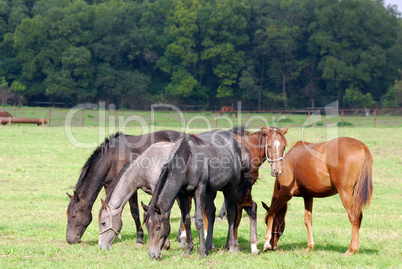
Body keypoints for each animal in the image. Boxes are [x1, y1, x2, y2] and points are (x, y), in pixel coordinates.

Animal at [142, 129, 242, 258]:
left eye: (158, 227)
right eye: (147, 227)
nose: (152, 254)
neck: (188, 162)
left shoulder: (200, 190)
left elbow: (199, 221)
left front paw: (201, 252)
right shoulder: (183, 195)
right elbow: (187, 220)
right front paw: (189, 249)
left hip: (231, 187)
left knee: (231, 213)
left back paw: (231, 246)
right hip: (210, 192)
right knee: (211, 213)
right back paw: (208, 247)